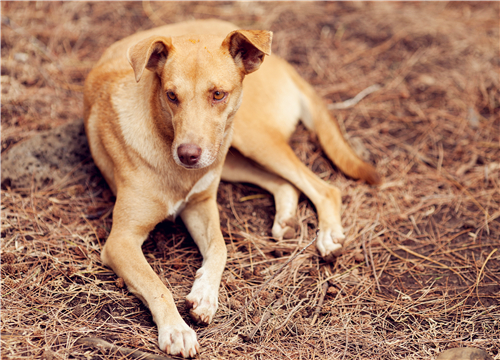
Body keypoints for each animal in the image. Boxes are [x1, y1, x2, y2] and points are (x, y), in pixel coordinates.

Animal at [83, 19, 378, 358]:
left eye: (218, 94)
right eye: (171, 95)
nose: (188, 154)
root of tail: (283, 63)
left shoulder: (201, 205)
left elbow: (220, 248)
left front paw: (205, 295)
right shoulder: (121, 240)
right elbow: (157, 282)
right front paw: (177, 329)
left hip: (248, 137)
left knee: (325, 187)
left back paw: (328, 235)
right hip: (234, 153)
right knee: (285, 184)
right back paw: (286, 220)